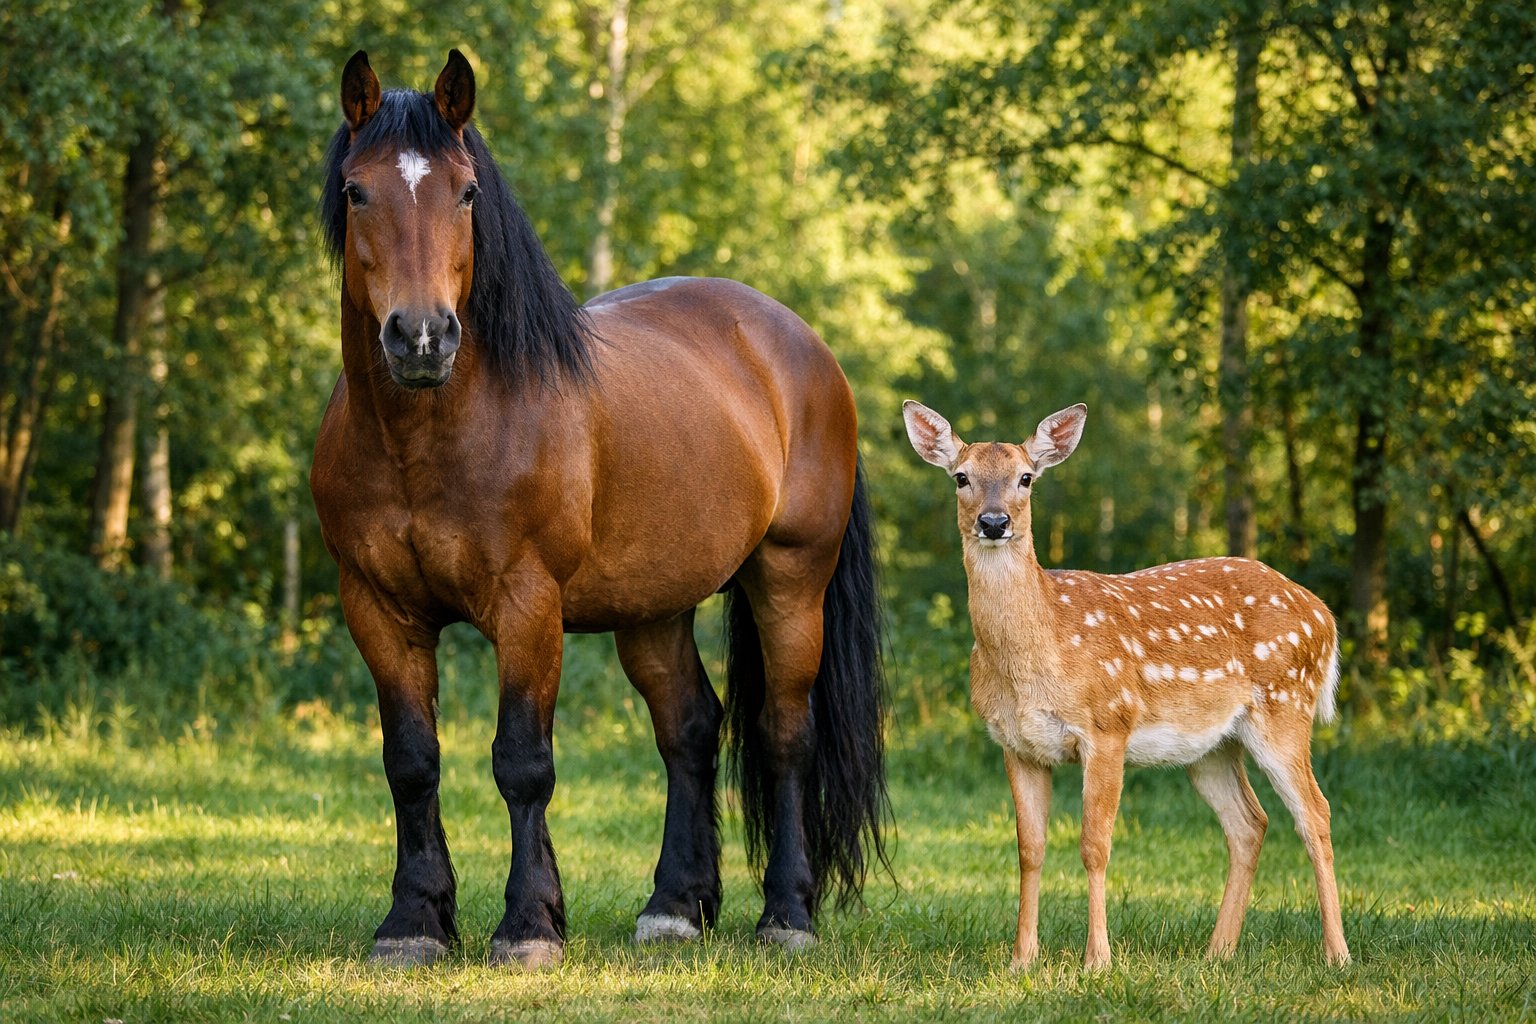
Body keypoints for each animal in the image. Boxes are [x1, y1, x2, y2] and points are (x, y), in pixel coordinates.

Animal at [309, 49, 888, 968]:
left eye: (466, 192)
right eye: (358, 191)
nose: (423, 338)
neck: (427, 436)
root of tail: (800, 344)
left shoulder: (526, 605)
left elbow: (522, 762)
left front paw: (528, 925)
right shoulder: (378, 608)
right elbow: (412, 762)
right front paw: (414, 921)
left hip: (791, 580)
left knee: (782, 733)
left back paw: (787, 916)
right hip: (652, 606)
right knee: (690, 728)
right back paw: (675, 908)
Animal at [902, 399, 1350, 971]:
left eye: (1026, 477)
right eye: (961, 477)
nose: (995, 522)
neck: (1038, 653)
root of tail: (1325, 616)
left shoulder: (1107, 725)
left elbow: (1095, 845)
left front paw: (1098, 959)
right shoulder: (1017, 745)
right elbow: (1029, 849)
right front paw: (1022, 959)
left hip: (1286, 705)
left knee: (1315, 814)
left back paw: (1336, 953)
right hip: (1210, 745)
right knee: (1249, 823)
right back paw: (1217, 952)